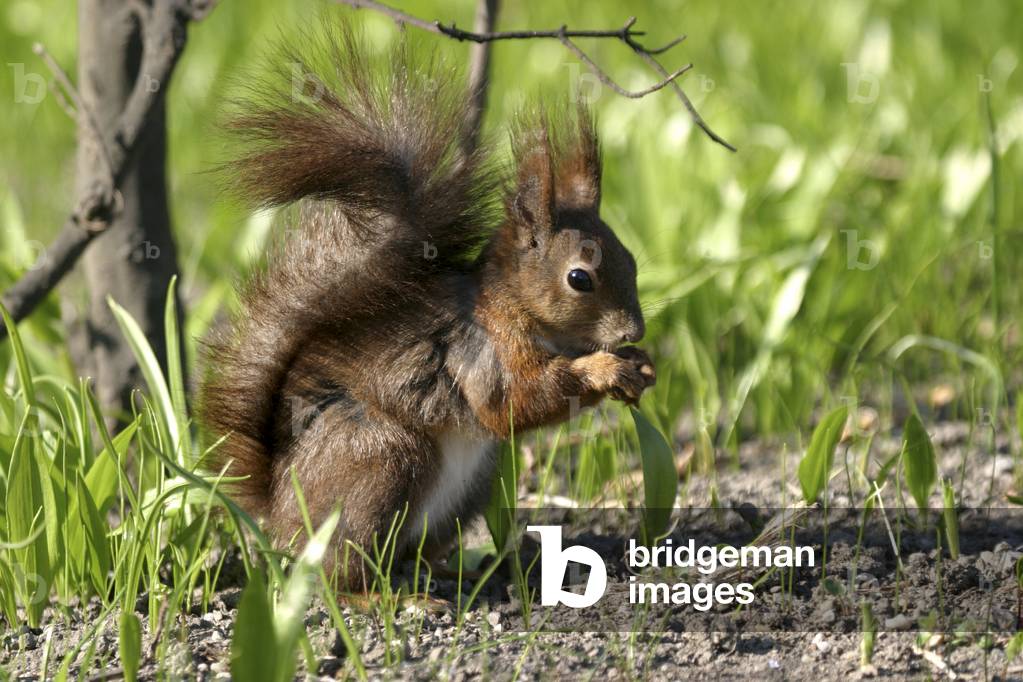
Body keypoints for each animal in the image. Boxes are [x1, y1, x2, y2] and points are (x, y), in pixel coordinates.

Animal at [199, 27, 656, 590]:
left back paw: (443, 575)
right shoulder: (484, 350)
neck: (512, 308)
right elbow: (518, 401)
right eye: (579, 278)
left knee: (410, 554)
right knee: (339, 571)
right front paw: (607, 369)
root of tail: (279, 511)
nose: (634, 330)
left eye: (630, 260)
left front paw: (640, 365)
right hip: (382, 457)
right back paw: (384, 596)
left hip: (471, 488)